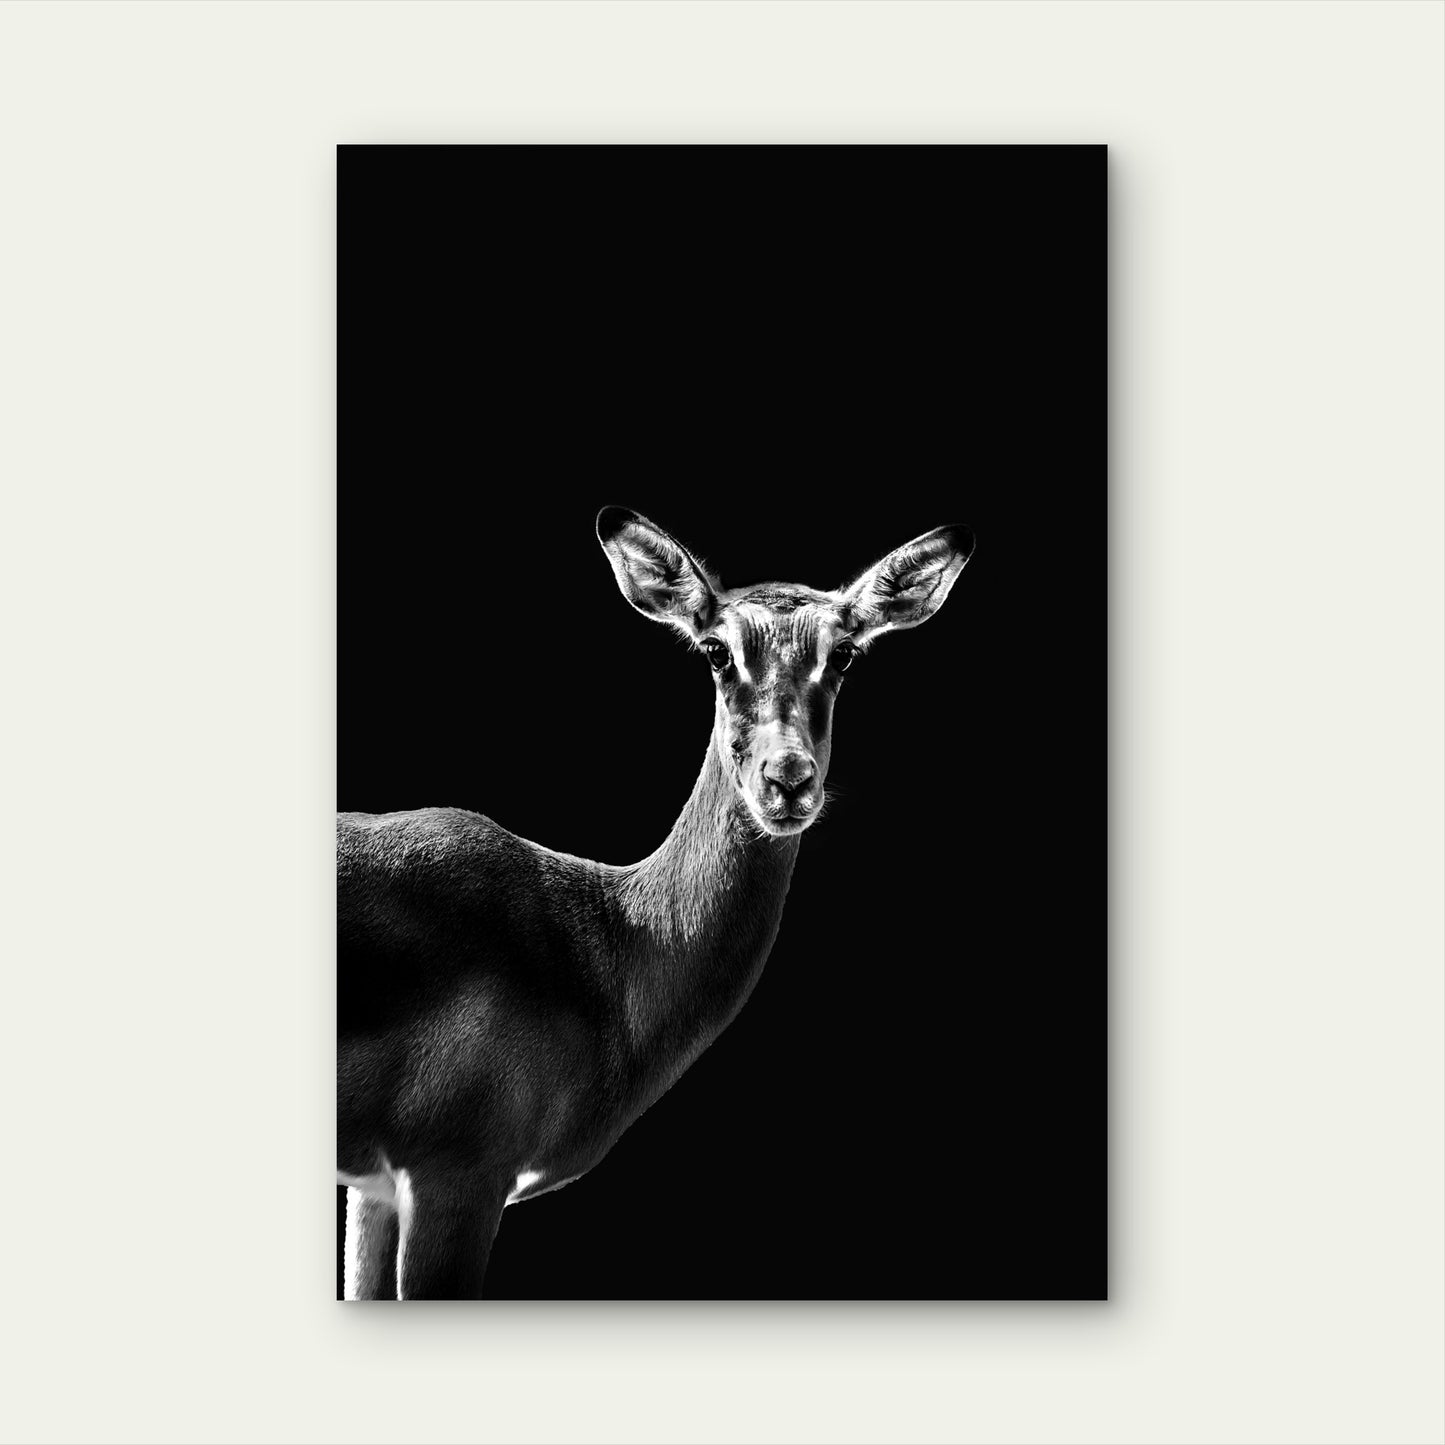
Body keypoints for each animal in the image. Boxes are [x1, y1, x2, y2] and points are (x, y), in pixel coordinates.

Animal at [337, 506, 974, 1299]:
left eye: (846, 653)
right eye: (716, 650)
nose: (788, 779)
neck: (604, 947)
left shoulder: (377, 1189)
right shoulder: (455, 1176)